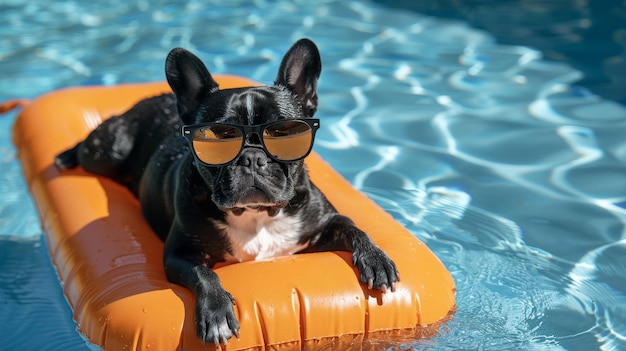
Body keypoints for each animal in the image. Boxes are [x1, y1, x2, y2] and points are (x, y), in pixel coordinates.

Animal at [53, 38, 394, 346]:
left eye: (284, 134)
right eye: (218, 138)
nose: (252, 157)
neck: (256, 216)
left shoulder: (322, 224)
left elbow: (352, 226)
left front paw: (376, 259)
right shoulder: (179, 253)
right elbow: (204, 274)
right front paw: (216, 314)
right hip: (107, 152)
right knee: (88, 145)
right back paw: (65, 156)